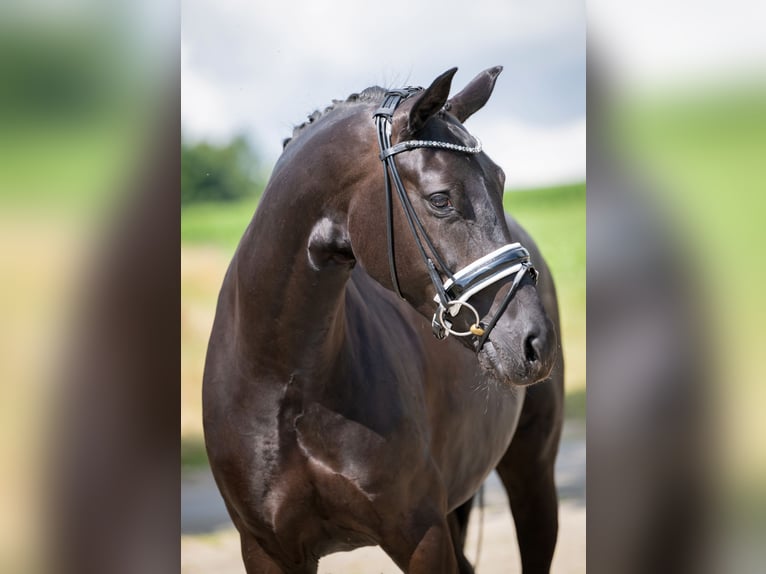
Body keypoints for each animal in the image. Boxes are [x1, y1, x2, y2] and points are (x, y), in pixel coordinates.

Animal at [202, 66, 564, 574]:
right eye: (440, 199)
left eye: (500, 180)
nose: (536, 341)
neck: (286, 377)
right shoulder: (267, 550)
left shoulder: (422, 537)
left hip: (532, 472)